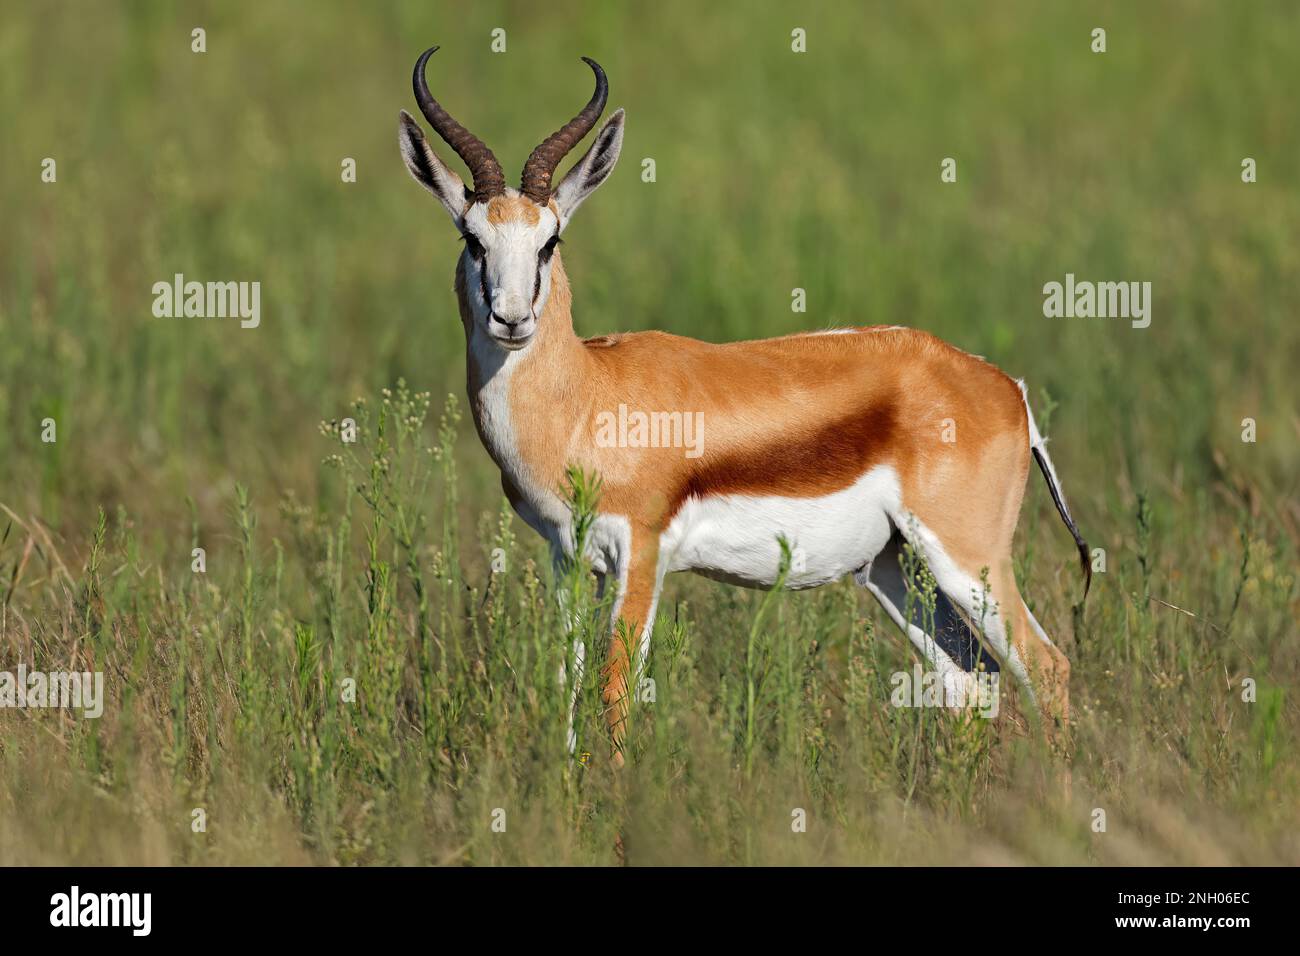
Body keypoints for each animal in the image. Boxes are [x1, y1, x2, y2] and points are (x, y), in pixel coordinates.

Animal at [398, 46, 1090, 760]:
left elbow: (616, 689)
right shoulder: (567, 557)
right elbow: (566, 681)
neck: (588, 394)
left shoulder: (639, 554)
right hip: (893, 566)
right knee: (971, 679)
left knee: (1045, 668)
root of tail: (1008, 389)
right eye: (472, 238)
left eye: (550, 240)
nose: (512, 319)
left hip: (966, 559)